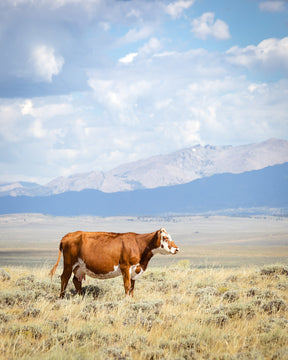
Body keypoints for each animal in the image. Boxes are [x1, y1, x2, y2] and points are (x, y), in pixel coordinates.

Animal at [50, 228, 180, 298]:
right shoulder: (125, 266)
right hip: (68, 263)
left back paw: (81, 298)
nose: (177, 249)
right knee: (64, 278)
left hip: (80, 267)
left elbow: (132, 287)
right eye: (165, 238)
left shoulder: (135, 269)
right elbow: (127, 285)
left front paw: (132, 300)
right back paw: (61, 297)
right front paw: (127, 300)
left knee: (76, 281)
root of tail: (68, 235)